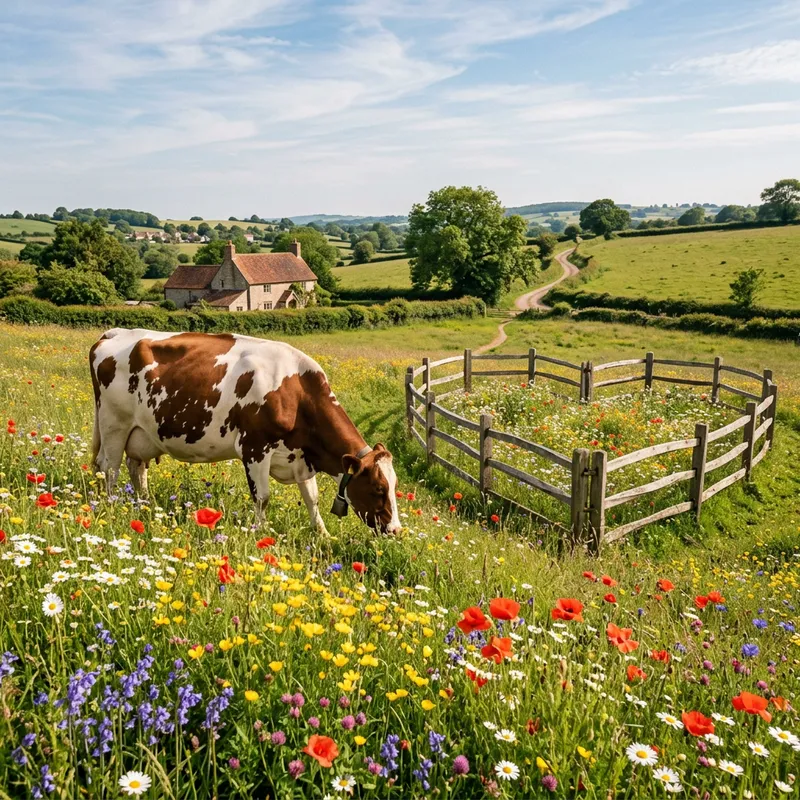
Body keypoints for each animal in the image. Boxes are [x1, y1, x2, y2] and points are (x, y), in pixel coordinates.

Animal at [89, 329, 401, 534]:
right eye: (379, 488)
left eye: (394, 485)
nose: (397, 530)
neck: (297, 392)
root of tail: (114, 333)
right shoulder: (255, 449)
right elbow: (262, 498)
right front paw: (261, 534)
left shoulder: (302, 455)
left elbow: (312, 497)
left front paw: (322, 534)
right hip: (114, 423)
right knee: (109, 468)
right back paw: (113, 506)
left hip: (142, 432)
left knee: (136, 467)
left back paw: (145, 504)